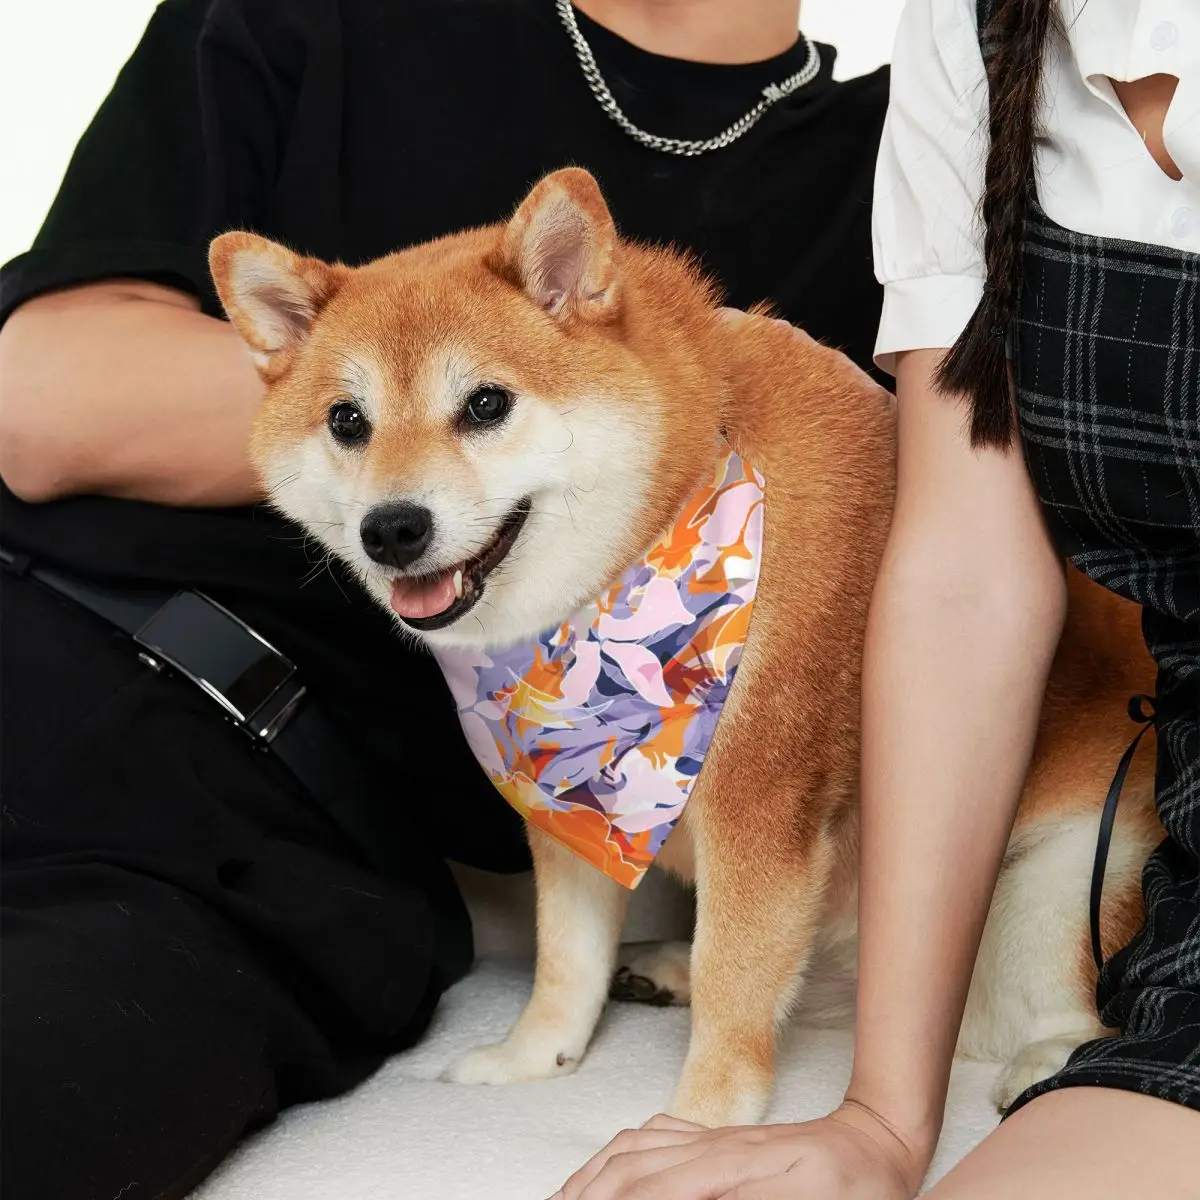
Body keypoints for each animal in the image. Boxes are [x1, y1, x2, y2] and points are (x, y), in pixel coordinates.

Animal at [211, 169, 1156, 1123]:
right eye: (346, 421)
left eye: (485, 404)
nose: (392, 529)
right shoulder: (568, 811)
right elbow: (568, 963)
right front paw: (533, 1057)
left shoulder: (759, 807)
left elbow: (735, 974)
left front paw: (703, 1122)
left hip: (1057, 882)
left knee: (1050, 1002)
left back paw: (1044, 1058)